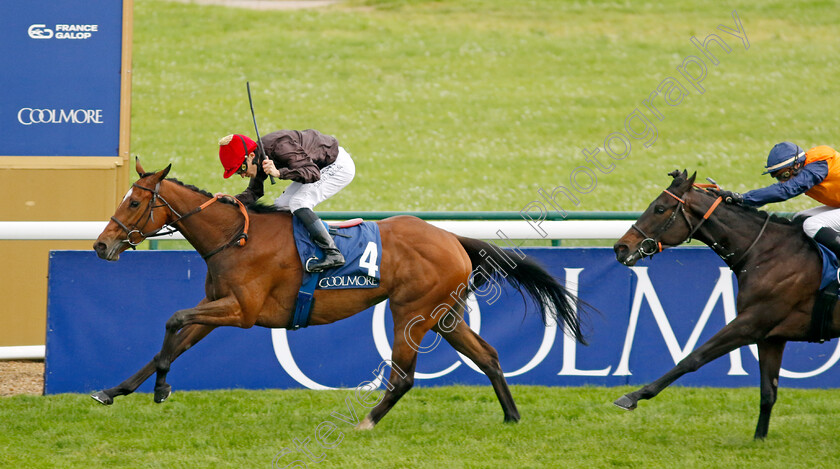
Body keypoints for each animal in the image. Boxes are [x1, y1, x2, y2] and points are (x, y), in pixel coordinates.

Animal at [92, 160, 588, 428]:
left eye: (134, 202)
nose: (101, 245)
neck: (235, 238)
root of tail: (450, 238)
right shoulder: (216, 306)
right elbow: (175, 338)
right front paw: (116, 390)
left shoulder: (241, 310)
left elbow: (173, 321)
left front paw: (160, 387)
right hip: (446, 314)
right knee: (487, 355)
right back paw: (511, 416)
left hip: (410, 312)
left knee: (404, 376)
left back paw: (366, 422)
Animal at [612, 169, 840, 438]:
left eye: (659, 208)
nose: (620, 247)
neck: (769, 253)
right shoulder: (771, 337)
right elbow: (768, 393)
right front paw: (759, 439)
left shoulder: (751, 323)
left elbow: (692, 358)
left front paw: (634, 395)